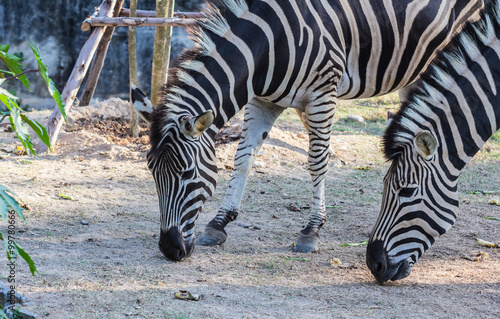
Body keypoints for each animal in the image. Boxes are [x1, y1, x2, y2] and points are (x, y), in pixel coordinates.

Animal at [134, 0, 488, 262]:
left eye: (187, 173)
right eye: (152, 171)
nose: (170, 249)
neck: (268, 46)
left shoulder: (321, 94)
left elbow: (318, 161)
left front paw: (312, 229)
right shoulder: (263, 100)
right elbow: (243, 159)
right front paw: (219, 222)